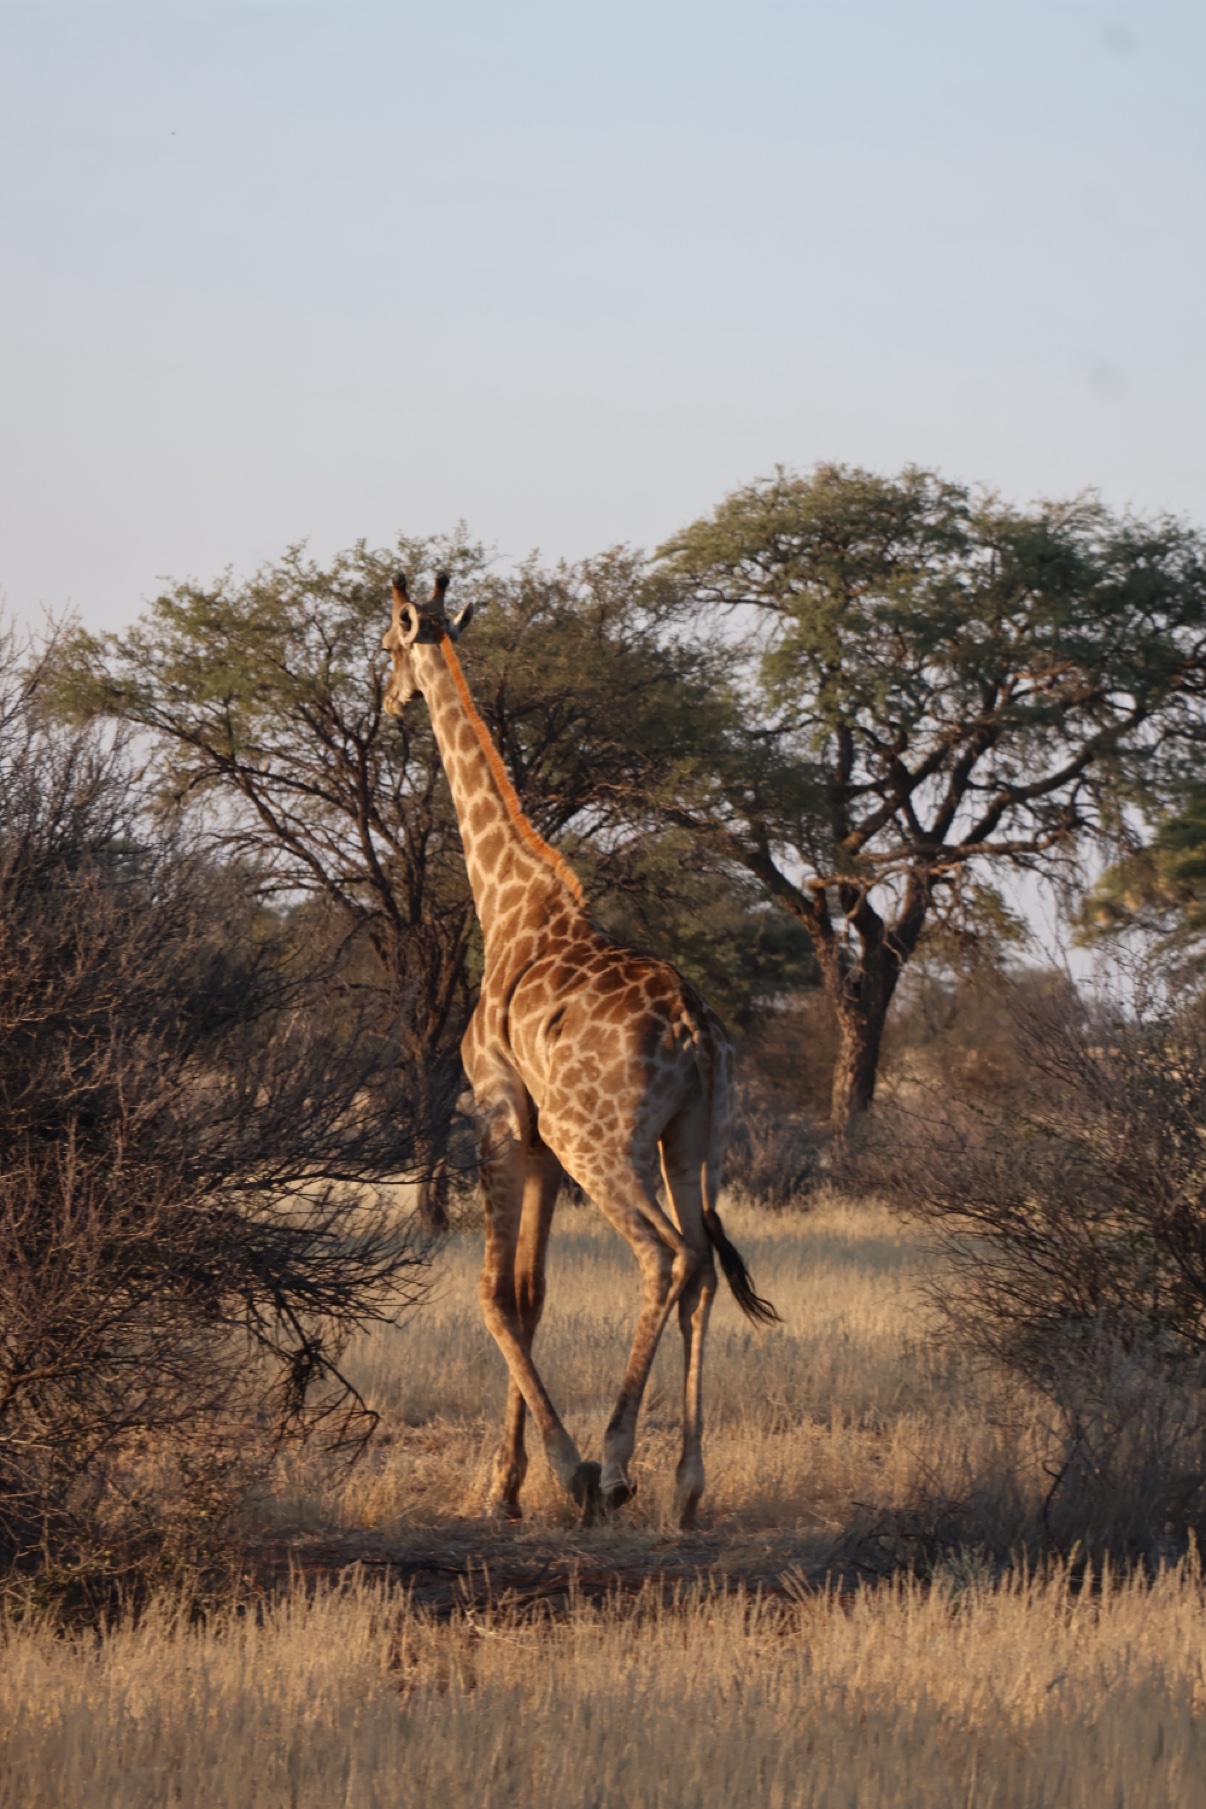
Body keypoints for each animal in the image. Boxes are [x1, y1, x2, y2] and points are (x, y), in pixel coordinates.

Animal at [381, 571, 778, 1529]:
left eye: (386, 643)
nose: (388, 699)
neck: (506, 903)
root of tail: (695, 1032)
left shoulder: (499, 1115)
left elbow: (494, 1295)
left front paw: (555, 1473)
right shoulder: (536, 1143)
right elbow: (531, 1295)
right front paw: (506, 1482)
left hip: (600, 1140)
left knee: (664, 1254)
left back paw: (619, 1461)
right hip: (693, 1140)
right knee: (704, 1267)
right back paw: (688, 1486)